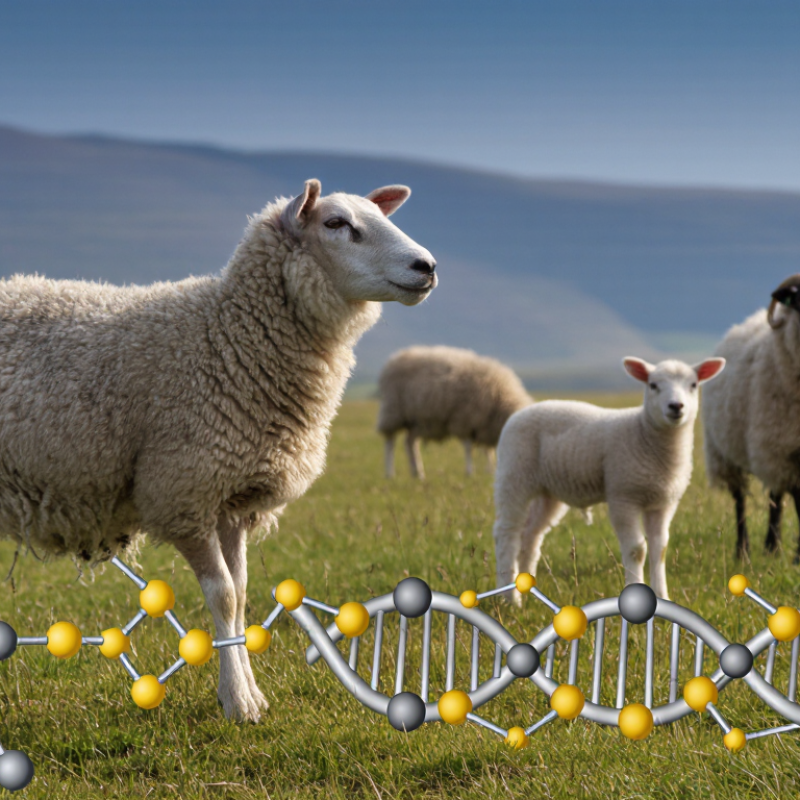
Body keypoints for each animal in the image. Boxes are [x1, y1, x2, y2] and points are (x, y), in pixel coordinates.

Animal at [0, 179, 436, 722]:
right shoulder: (183, 492)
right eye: (336, 224)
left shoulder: (234, 500)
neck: (228, 337)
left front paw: (250, 691)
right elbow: (224, 596)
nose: (426, 266)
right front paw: (238, 701)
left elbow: (243, 592)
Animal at [376, 346, 532, 479]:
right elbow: (469, 448)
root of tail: (395, 358)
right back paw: (390, 473)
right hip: (393, 411)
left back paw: (418, 473)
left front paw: (491, 470)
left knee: (410, 443)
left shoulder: (483, 425)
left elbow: (488, 451)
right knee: (390, 442)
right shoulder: (465, 420)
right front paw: (470, 472)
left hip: (417, 421)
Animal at [492, 356, 725, 602]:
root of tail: (520, 413)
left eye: (693, 385)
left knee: (530, 536)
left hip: (548, 492)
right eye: (653, 385)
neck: (645, 435)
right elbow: (636, 549)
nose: (676, 406)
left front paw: (663, 598)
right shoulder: (623, 495)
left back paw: (527, 592)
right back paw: (509, 598)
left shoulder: (663, 502)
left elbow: (659, 548)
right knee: (506, 533)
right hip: (514, 474)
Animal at [702, 274, 800, 563]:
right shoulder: (787, 454)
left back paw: (772, 548)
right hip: (728, 455)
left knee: (776, 497)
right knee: (740, 502)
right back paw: (743, 551)